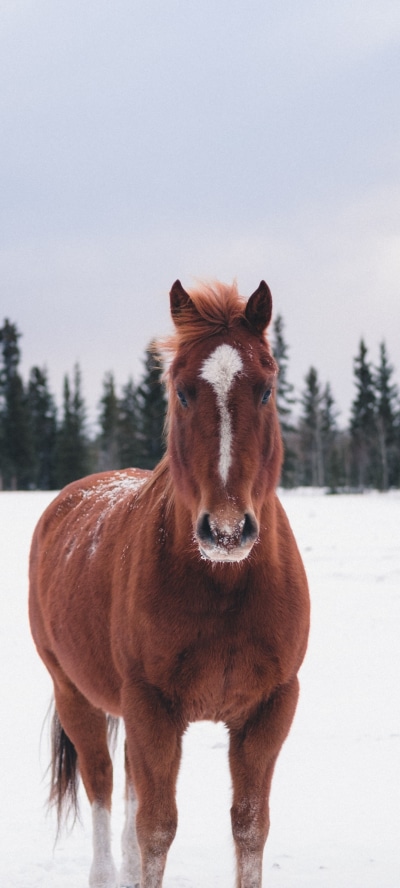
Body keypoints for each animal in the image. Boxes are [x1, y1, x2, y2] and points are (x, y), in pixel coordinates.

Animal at [29, 279, 310, 888]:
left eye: (267, 389)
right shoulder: (151, 707)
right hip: (75, 694)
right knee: (104, 788)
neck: (223, 585)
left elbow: (249, 828)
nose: (226, 529)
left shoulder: (269, 709)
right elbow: (157, 830)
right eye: (182, 392)